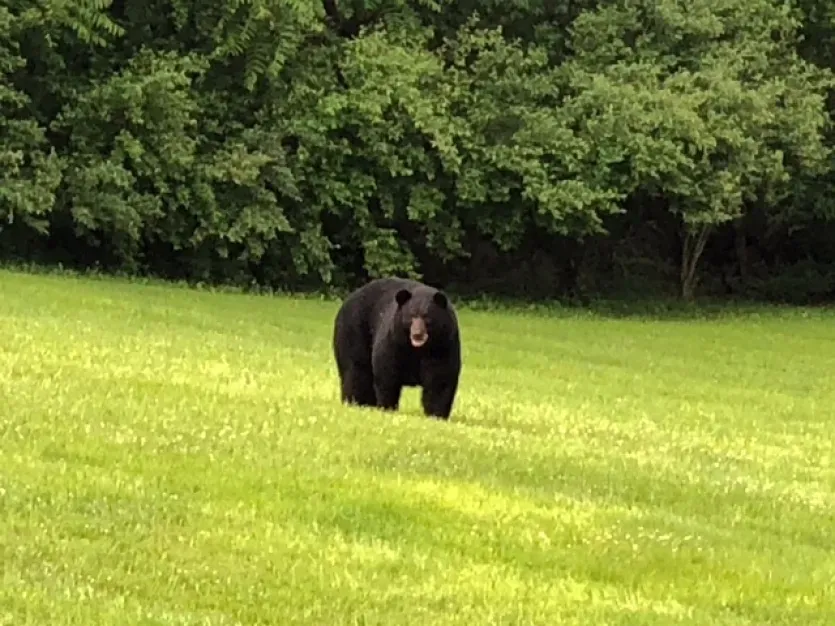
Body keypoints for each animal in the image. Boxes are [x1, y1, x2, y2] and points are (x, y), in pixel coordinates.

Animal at [332, 277, 462, 420]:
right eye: (411, 316)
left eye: (427, 317)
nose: (417, 334)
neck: (418, 349)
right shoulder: (394, 342)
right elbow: (387, 373)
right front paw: (387, 407)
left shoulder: (442, 346)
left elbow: (440, 380)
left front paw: (436, 415)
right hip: (353, 331)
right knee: (356, 369)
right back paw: (356, 402)